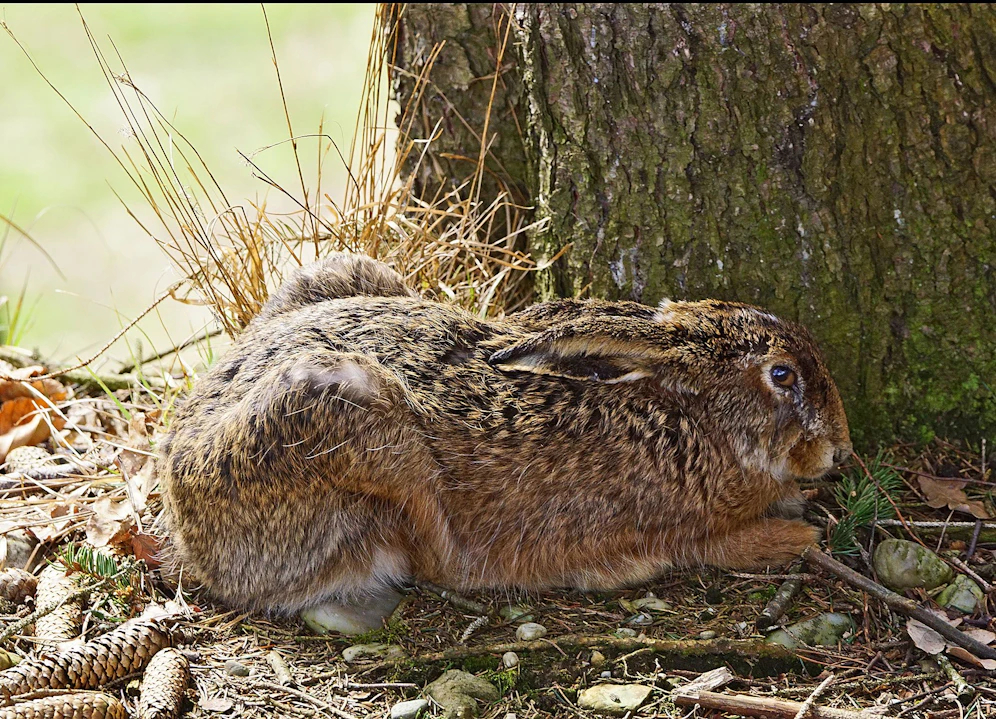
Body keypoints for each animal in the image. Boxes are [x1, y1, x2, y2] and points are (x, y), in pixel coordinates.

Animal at [159, 252, 851, 629]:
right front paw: (796, 535)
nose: (839, 449)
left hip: (341, 277)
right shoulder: (672, 527)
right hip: (347, 414)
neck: (688, 414)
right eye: (782, 375)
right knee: (437, 553)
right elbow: (715, 544)